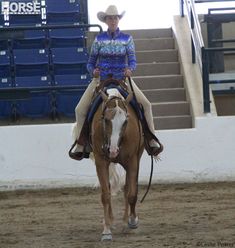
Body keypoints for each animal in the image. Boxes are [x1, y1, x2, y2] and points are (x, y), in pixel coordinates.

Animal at [91, 85, 143, 240]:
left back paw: (126, 221)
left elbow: (131, 194)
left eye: (125, 121)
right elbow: (105, 195)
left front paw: (132, 221)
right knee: (109, 188)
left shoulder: (132, 162)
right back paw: (111, 220)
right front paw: (106, 230)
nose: (112, 150)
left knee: (127, 189)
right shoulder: (101, 162)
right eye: (106, 120)